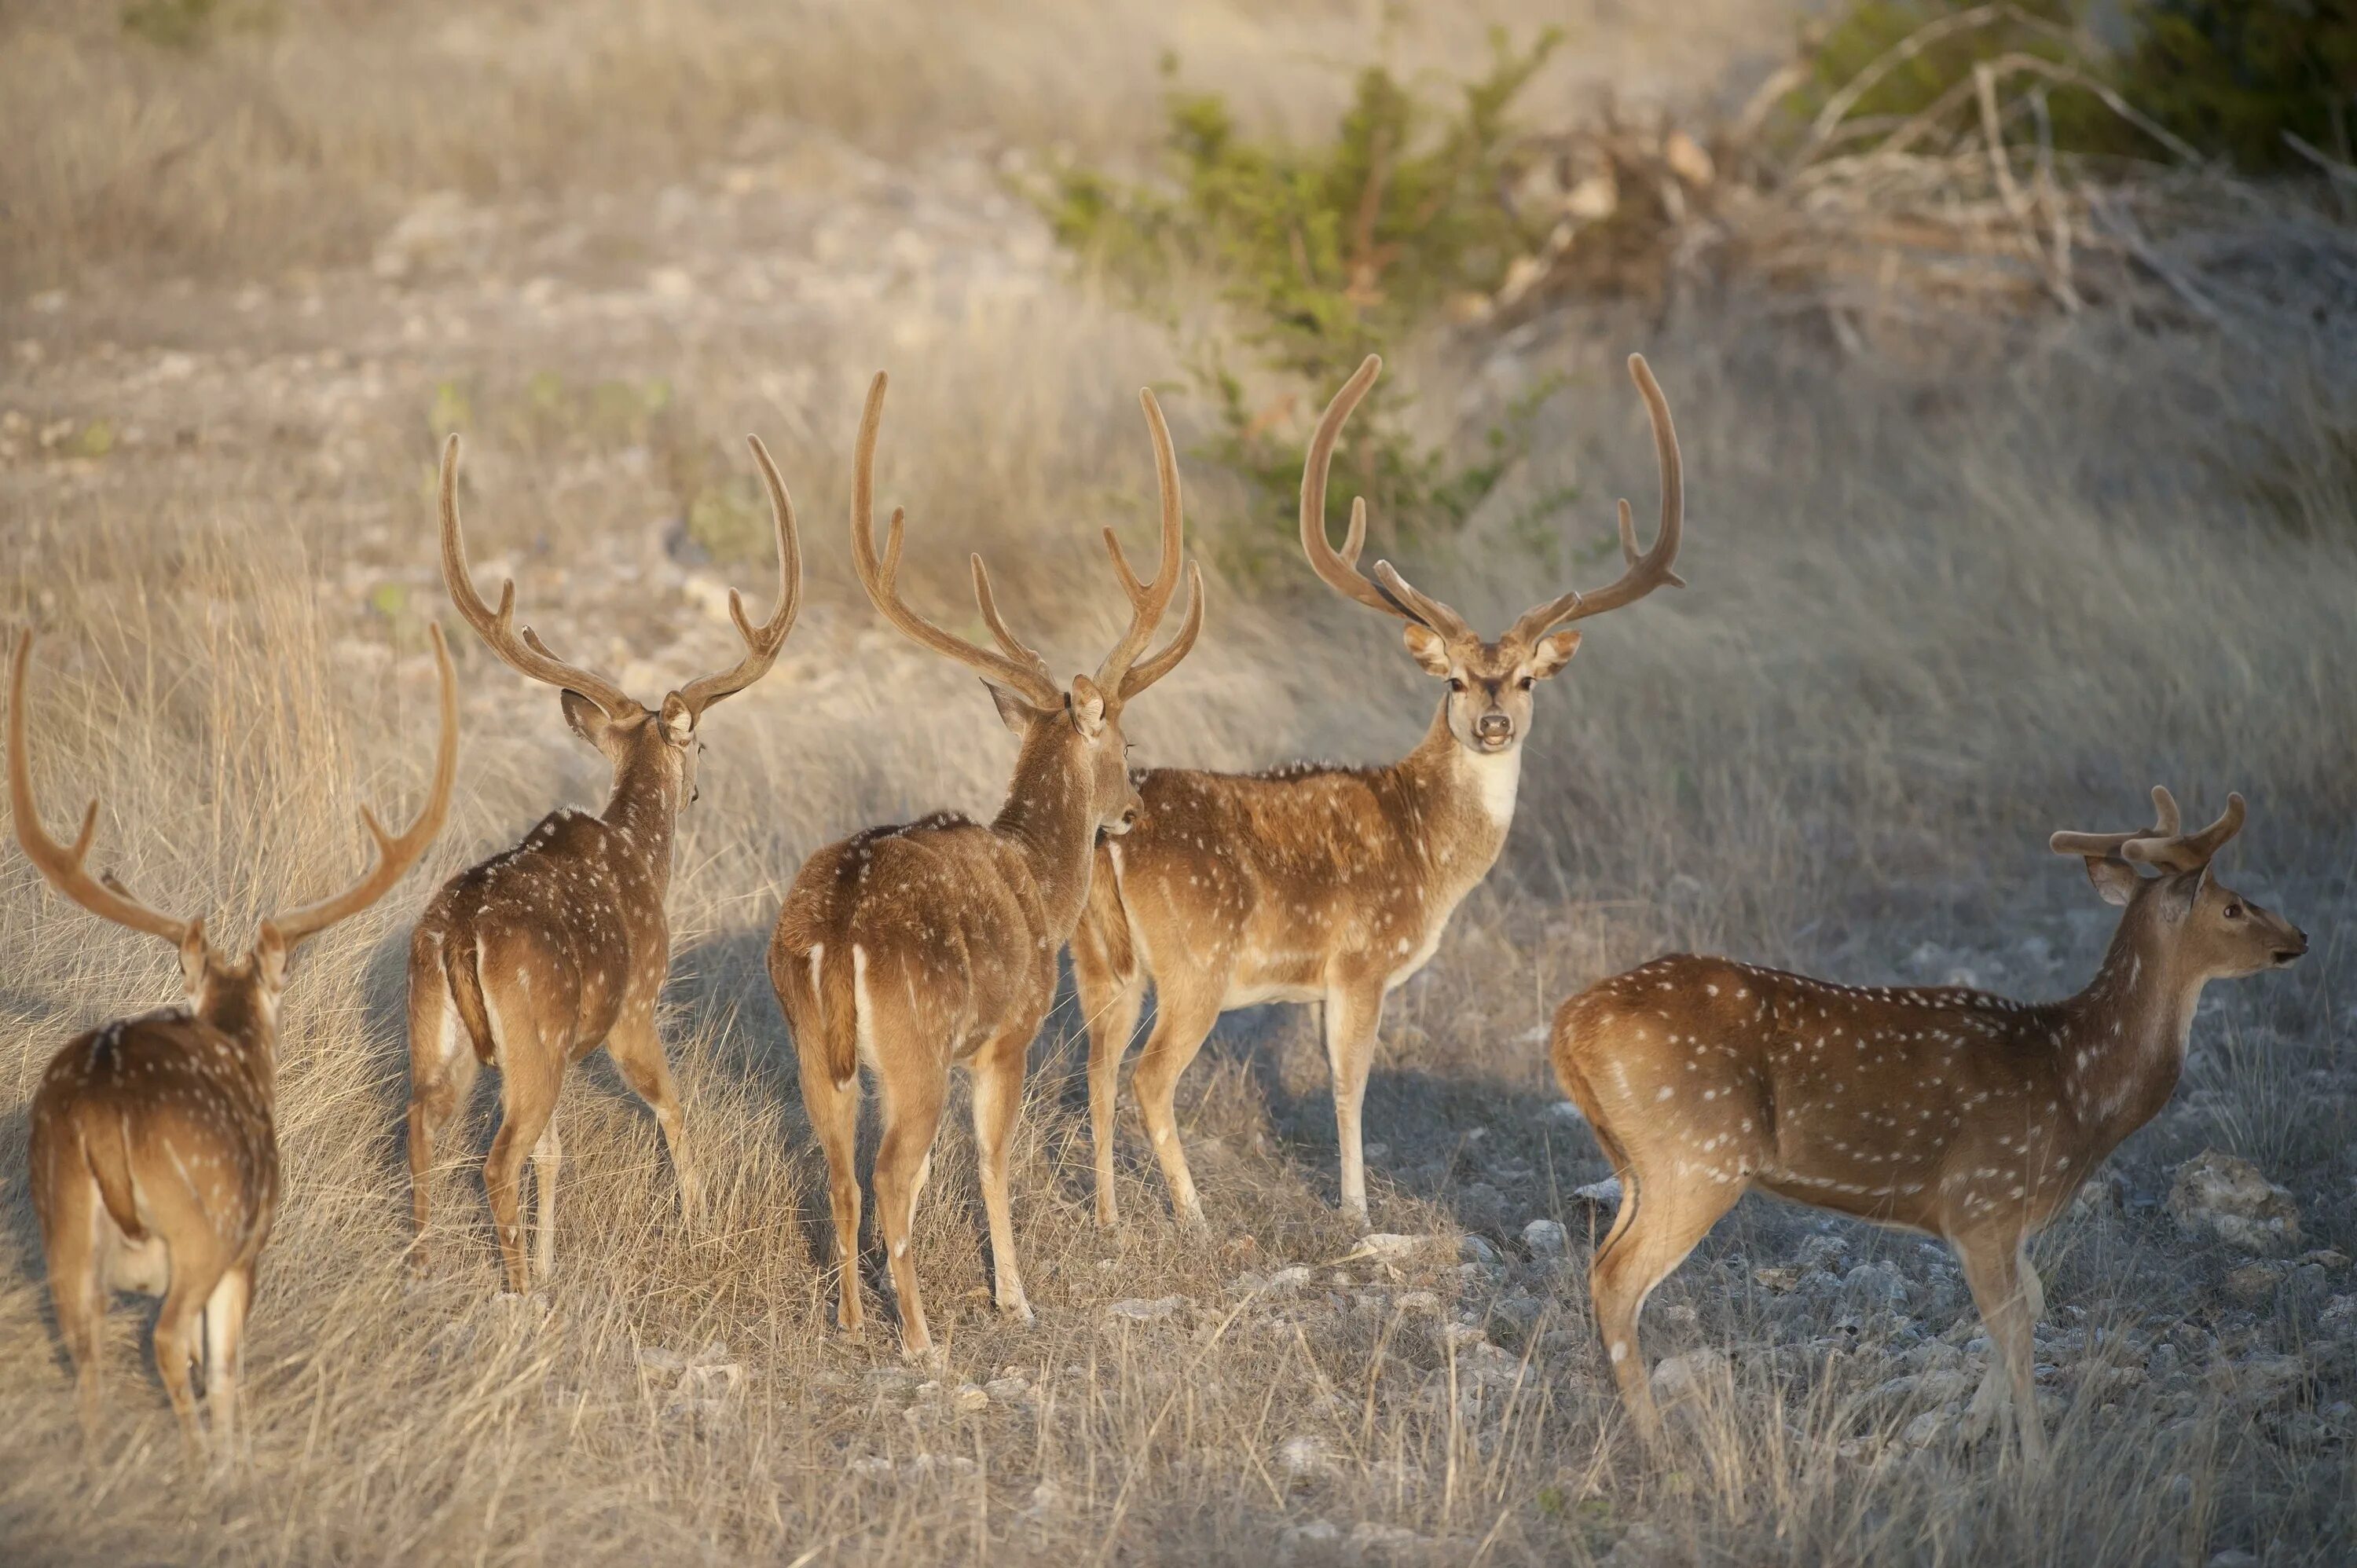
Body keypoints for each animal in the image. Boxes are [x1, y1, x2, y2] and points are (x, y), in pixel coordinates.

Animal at [13, 622, 455, 1452]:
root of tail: (102, 1113)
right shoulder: (252, 1242)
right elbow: (220, 1366)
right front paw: (229, 1452)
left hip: (61, 1224)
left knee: (86, 1356)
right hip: (205, 1226)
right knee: (168, 1342)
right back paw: (199, 1460)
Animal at [410, 434, 806, 1291]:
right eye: (701, 747)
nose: (698, 790)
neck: (640, 855)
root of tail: (457, 931)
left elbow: (558, 1155)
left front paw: (555, 1259)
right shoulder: (635, 1003)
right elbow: (673, 1108)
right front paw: (700, 1227)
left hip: (439, 1024)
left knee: (422, 1127)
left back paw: (425, 1265)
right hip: (530, 1033)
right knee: (497, 1158)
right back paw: (516, 1291)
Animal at [773, 370, 1207, 1357]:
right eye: (1125, 742)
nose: (1132, 810)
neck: (1038, 883)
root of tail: (837, 928)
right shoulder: (1009, 1030)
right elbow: (990, 1160)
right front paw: (1015, 1297)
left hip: (813, 1044)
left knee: (840, 1174)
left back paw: (854, 1321)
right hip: (916, 1046)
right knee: (889, 1173)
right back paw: (920, 1340)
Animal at [1080, 351, 1688, 1225]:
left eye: (1528, 679)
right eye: (1456, 680)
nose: (1494, 723)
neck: (1430, 855)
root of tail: (1108, 833)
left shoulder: (1323, 981)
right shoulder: (1363, 957)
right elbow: (1349, 1084)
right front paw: (1358, 1210)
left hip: (1104, 965)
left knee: (1094, 1072)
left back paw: (1108, 1218)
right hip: (1198, 961)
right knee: (1148, 1077)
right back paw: (1194, 1217)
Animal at [1556, 787, 2310, 1461]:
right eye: (2232, 905)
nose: (2299, 936)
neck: (2079, 1088)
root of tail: (1568, 1025)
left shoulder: (1994, 1218)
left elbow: (2032, 1304)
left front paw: (1971, 1431)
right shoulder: (1984, 1197)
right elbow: (2014, 1327)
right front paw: (2036, 1463)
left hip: (1637, 1164)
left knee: (1599, 1264)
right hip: (1700, 1156)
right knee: (1618, 1280)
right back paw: (1659, 1447)